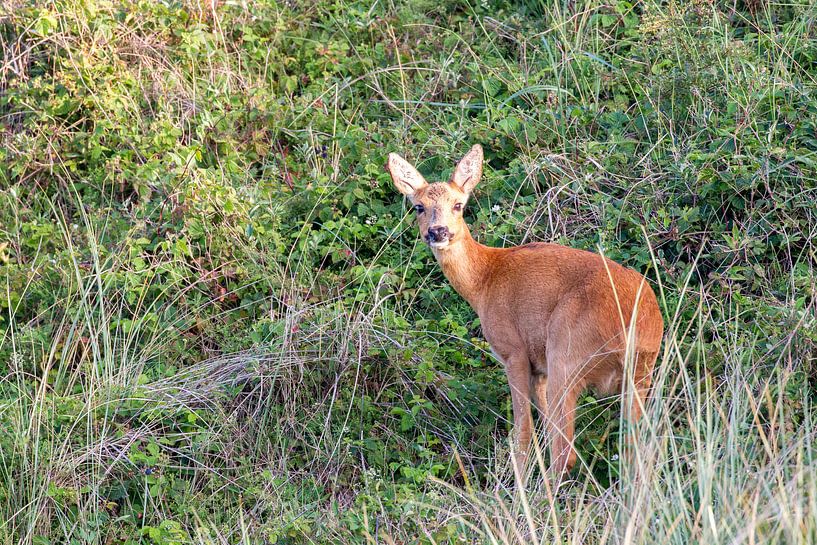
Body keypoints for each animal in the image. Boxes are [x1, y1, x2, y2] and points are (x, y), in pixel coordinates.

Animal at [386, 144, 664, 475]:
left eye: (458, 204)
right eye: (418, 206)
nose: (438, 231)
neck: (484, 281)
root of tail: (639, 326)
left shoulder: (514, 351)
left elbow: (523, 432)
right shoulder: (539, 368)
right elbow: (542, 423)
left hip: (566, 354)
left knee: (565, 452)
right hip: (639, 372)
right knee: (634, 450)